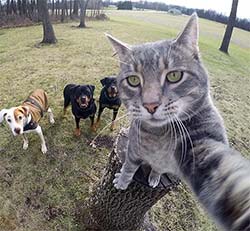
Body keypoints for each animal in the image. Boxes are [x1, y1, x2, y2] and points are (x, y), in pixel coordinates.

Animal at [106, 13, 250, 230]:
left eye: (174, 75)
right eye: (133, 80)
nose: (150, 105)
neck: (157, 138)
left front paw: (149, 176)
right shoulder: (133, 148)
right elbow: (129, 167)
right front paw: (123, 180)